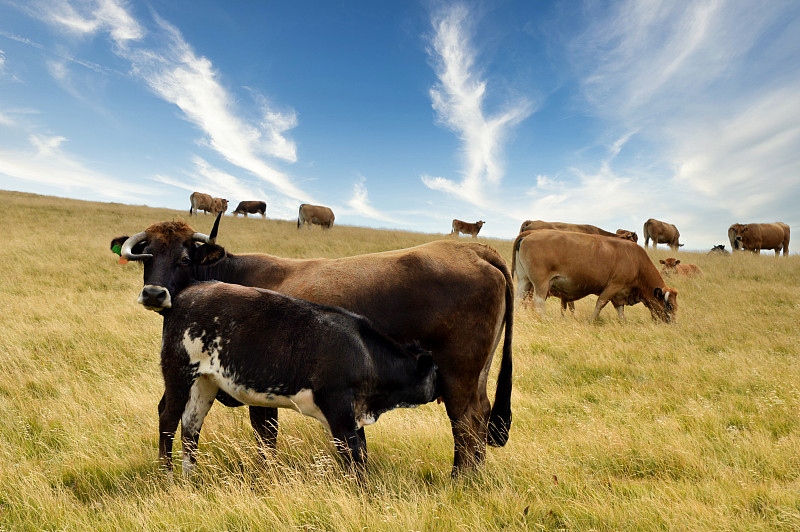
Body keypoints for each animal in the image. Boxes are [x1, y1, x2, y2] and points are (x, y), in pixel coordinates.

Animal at [111, 214, 512, 472]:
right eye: (146, 256)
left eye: (183, 258)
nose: (154, 293)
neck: (230, 273)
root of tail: (475, 251)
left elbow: (266, 435)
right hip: (476, 377)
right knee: (480, 418)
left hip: (458, 379)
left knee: (466, 424)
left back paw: (460, 480)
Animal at [512, 228, 680, 320]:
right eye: (670, 306)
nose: (672, 322)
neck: (637, 262)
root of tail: (528, 235)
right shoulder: (613, 286)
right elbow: (600, 303)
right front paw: (592, 320)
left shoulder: (619, 294)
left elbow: (620, 311)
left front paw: (623, 322)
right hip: (540, 284)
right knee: (538, 301)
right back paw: (544, 318)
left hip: (524, 281)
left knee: (518, 298)